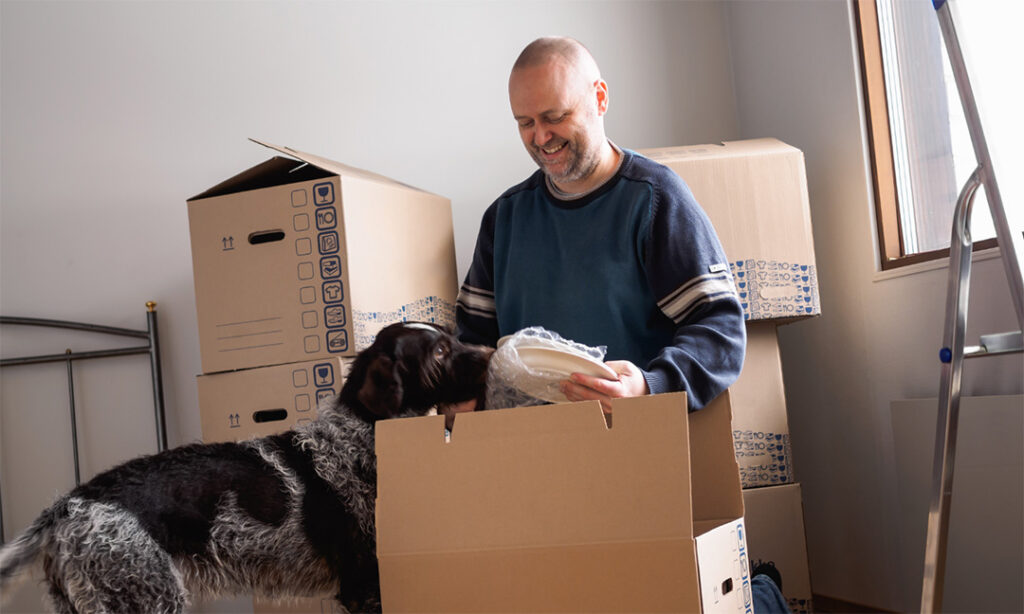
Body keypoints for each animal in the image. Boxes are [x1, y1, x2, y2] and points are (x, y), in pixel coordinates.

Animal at [0, 321, 491, 614]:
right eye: (440, 351)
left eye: (453, 338)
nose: (491, 352)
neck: (360, 436)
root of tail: (68, 505)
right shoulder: (365, 585)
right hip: (148, 600)